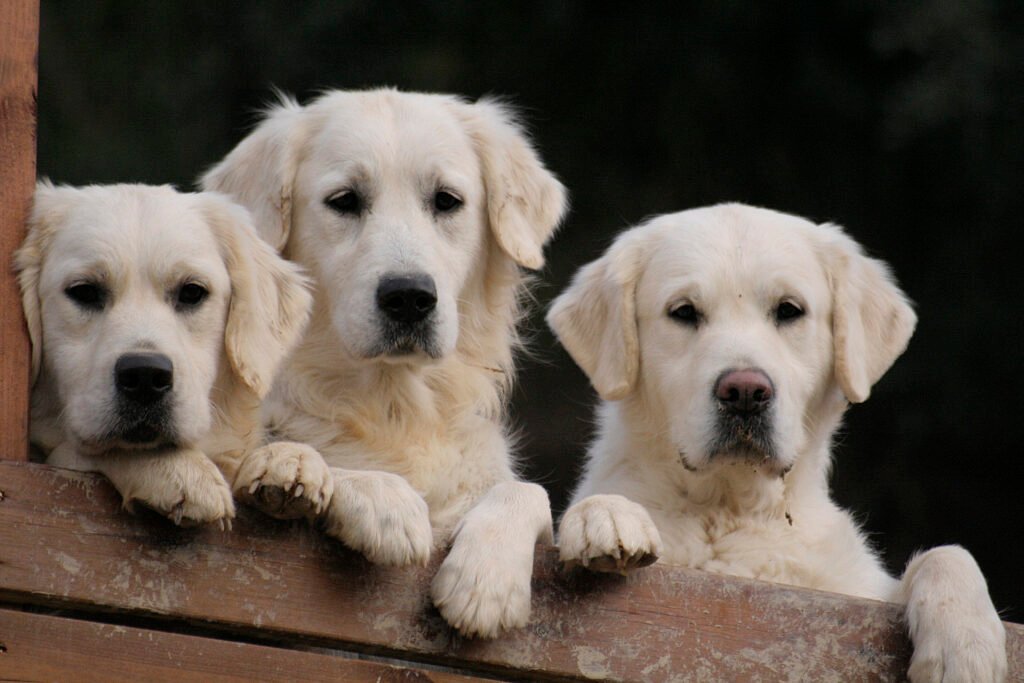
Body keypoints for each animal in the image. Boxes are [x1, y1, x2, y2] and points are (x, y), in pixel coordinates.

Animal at [17, 184, 311, 528]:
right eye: (85, 291)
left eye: (192, 292)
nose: (145, 376)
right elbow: (76, 453)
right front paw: (179, 470)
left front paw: (289, 458)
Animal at [199, 88, 569, 638]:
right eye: (344, 200)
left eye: (446, 200)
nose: (409, 297)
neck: (395, 406)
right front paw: (384, 502)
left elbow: (527, 492)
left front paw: (485, 581)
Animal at [552, 204, 1007, 683]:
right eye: (684, 312)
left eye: (789, 310)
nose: (745, 392)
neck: (733, 508)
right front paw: (604, 517)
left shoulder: (858, 589)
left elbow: (946, 554)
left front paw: (967, 644)